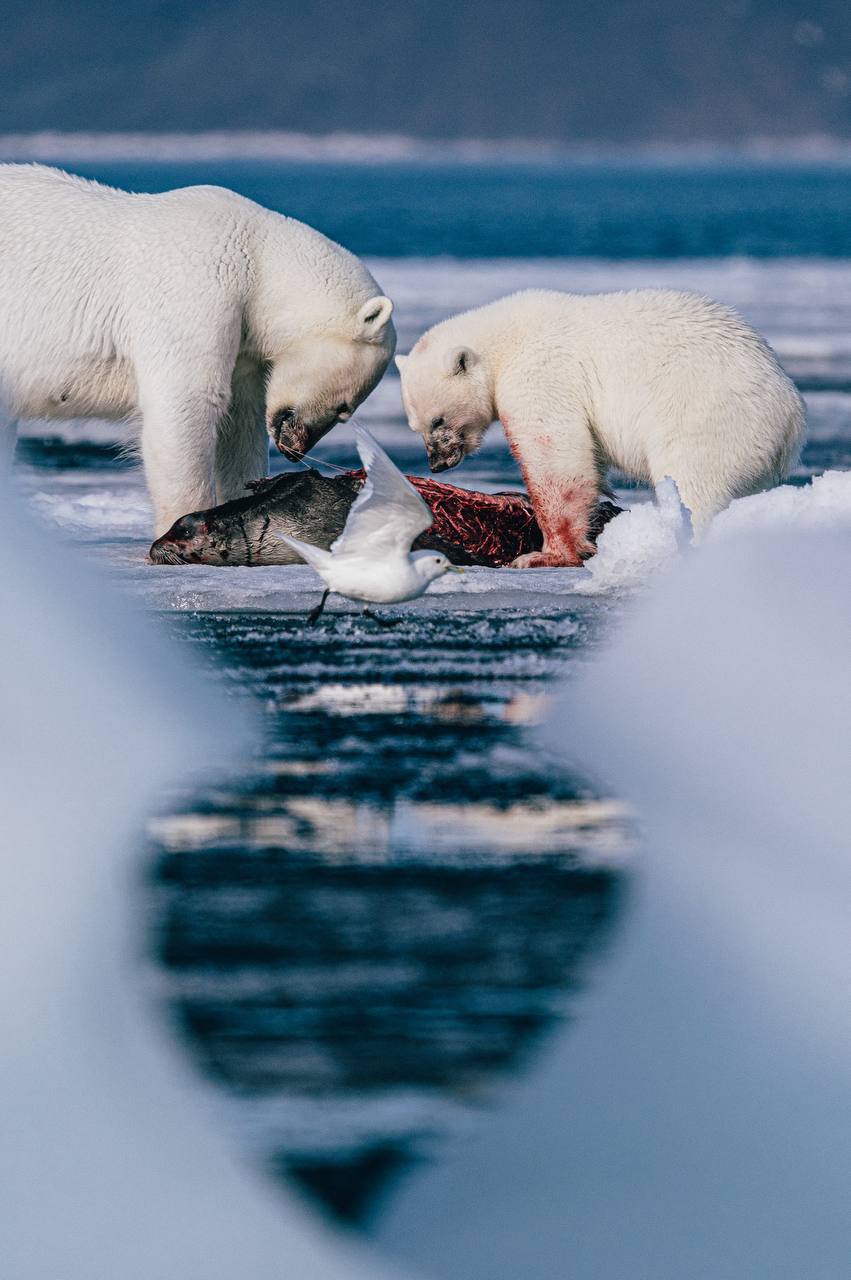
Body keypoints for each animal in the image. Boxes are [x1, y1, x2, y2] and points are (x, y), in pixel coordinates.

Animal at [0, 165, 396, 535]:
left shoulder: (243, 337)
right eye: (345, 409)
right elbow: (188, 400)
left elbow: (240, 419)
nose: (296, 449)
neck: (254, 259)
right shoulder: (196, 287)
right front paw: (184, 523)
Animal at [399, 294, 803, 570]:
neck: (503, 340)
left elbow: (556, 454)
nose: (437, 463)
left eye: (437, 421)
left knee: (695, 483)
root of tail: (792, 416)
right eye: (415, 425)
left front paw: (545, 554)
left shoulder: (539, 373)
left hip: (707, 417)